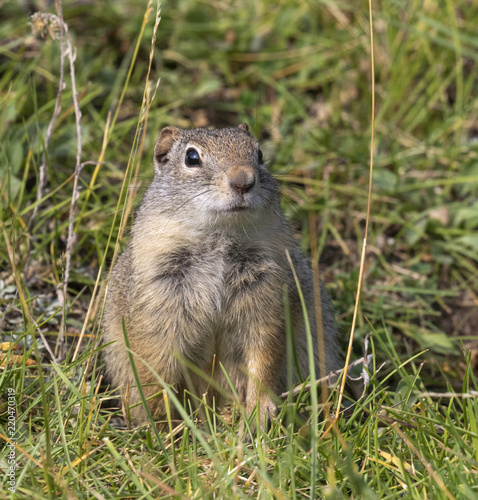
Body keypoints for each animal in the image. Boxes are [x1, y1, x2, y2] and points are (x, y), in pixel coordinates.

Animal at [102, 123, 342, 428]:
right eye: (191, 157)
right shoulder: (157, 298)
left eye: (259, 153)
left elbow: (264, 355)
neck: (219, 239)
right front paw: (163, 424)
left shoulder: (268, 294)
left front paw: (259, 410)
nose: (244, 180)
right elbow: (155, 368)